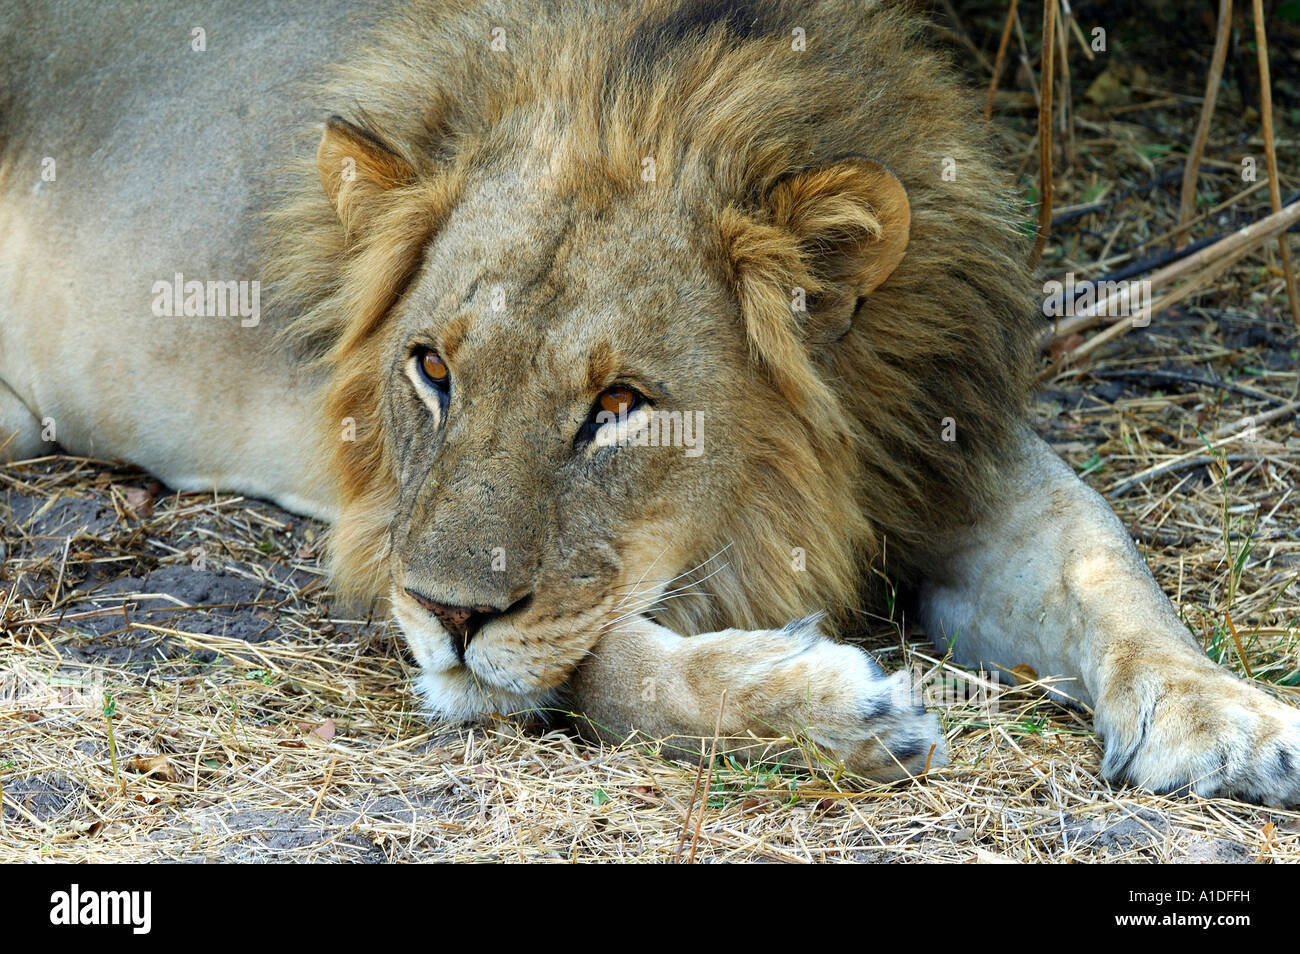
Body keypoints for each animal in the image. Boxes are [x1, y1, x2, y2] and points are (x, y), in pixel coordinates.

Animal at [2, 0, 1298, 804]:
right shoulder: (381, 532)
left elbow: (1098, 555)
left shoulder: (938, 442)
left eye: (619, 403)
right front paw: (833, 710)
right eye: (432, 370)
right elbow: (593, 661)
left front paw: (1227, 721)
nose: (447, 610)